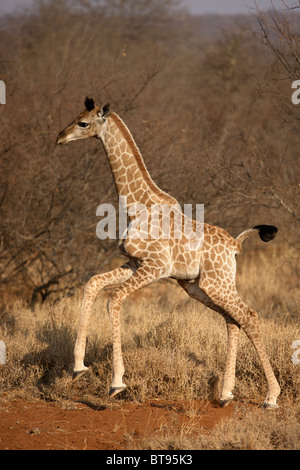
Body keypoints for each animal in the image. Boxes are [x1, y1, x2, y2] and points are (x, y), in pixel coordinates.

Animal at [56, 98, 282, 408]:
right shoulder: (135, 263)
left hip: (216, 283)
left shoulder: (156, 266)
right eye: (77, 117)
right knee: (232, 320)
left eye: (83, 123)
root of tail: (235, 246)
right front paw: (78, 366)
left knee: (249, 315)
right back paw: (225, 394)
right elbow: (93, 283)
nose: (60, 137)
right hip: (197, 286)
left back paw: (271, 397)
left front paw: (117, 382)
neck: (138, 205)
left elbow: (114, 298)